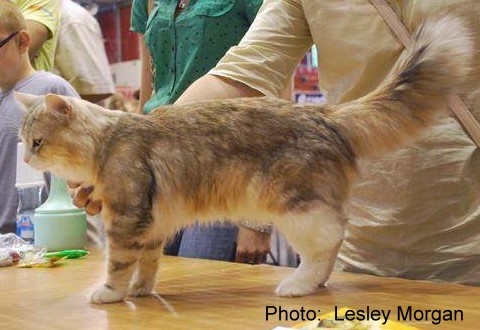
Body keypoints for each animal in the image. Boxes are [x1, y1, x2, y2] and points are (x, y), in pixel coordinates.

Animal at [15, 16, 472, 304]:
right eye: (24, 142)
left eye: (37, 142)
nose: (25, 158)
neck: (108, 139)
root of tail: (322, 113)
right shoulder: (152, 225)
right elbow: (147, 264)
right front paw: (142, 291)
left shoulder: (126, 218)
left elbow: (118, 264)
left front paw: (109, 294)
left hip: (296, 209)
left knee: (330, 241)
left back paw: (298, 284)